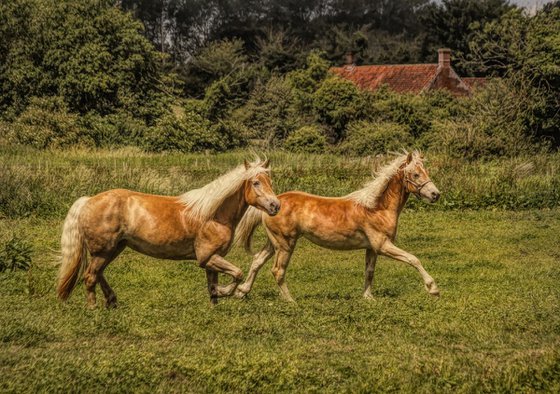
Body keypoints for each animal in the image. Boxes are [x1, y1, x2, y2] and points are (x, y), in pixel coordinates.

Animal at [57, 159, 280, 306]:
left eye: (270, 182)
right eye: (256, 182)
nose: (275, 206)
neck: (213, 214)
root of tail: (87, 200)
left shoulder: (211, 260)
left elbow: (212, 287)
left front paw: (216, 304)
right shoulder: (207, 258)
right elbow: (237, 274)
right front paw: (228, 292)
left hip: (113, 249)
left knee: (98, 273)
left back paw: (112, 301)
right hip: (103, 251)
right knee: (90, 276)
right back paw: (94, 310)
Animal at [234, 152, 440, 302]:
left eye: (426, 171)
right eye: (415, 174)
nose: (435, 194)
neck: (376, 207)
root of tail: (273, 203)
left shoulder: (372, 248)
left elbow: (369, 272)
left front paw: (368, 298)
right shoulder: (383, 245)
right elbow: (413, 259)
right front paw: (433, 288)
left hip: (274, 243)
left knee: (257, 261)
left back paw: (241, 291)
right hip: (285, 244)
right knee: (277, 270)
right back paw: (290, 301)